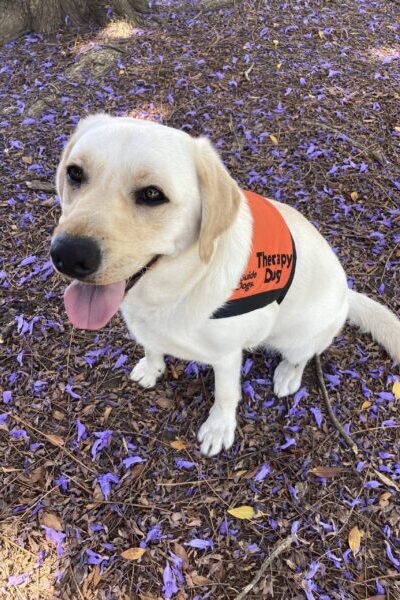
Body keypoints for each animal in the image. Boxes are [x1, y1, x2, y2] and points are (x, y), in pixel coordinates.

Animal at [50, 115, 400, 458]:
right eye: (75, 173)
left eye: (152, 194)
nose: (67, 255)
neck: (178, 288)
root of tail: (347, 293)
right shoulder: (149, 329)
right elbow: (152, 349)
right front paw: (151, 368)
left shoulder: (227, 357)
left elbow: (226, 395)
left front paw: (218, 428)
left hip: (299, 336)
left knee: (303, 355)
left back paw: (288, 374)